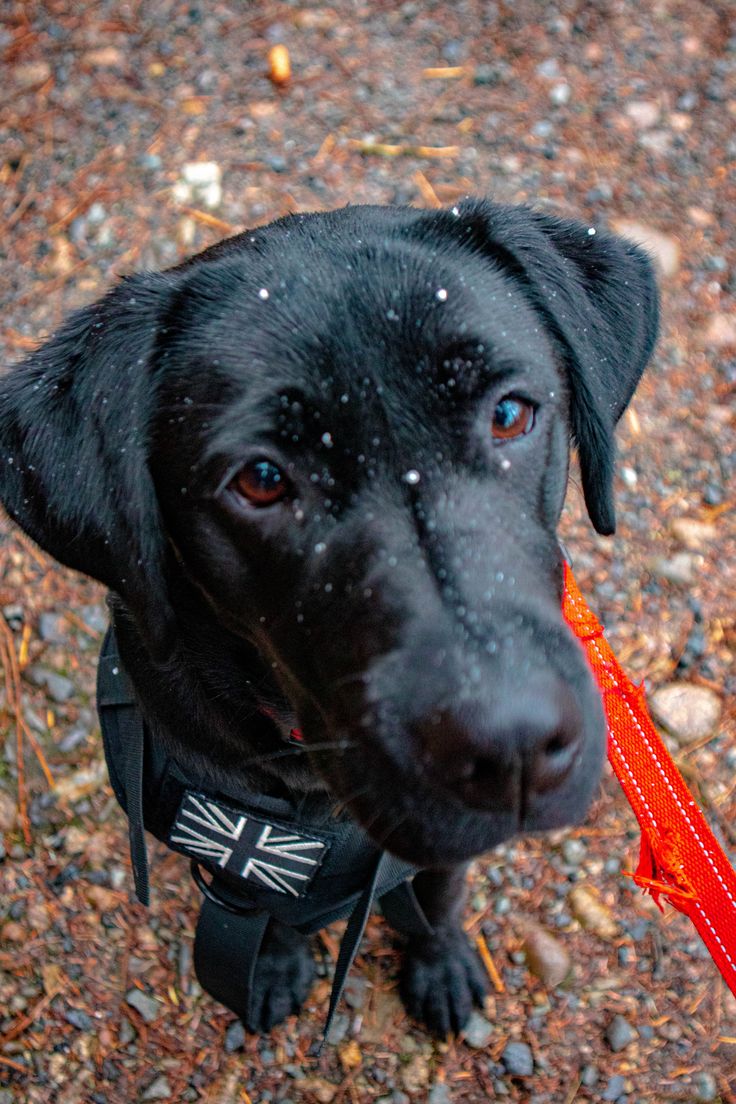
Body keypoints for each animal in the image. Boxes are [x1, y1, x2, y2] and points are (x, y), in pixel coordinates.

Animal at [0, 200, 657, 1033]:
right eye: (261, 479)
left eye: (510, 414)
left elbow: (441, 887)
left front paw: (441, 961)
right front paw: (278, 965)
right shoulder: (236, 841)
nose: (514, 748)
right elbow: (266, 902)